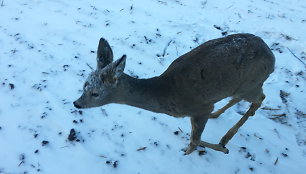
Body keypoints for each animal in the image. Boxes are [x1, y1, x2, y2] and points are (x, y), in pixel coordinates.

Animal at [73, 33, 274, 154]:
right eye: (84, 85)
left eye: (95, 93)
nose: (77, 103)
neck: (166, 94)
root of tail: (272, 58)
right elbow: (194, 139)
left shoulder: (201, 107)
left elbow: (194, 141)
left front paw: (219, 148)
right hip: (242, 86)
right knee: (240, 98)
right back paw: (218, 117)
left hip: (251, 83)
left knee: (260, 99)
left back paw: (225, 138)